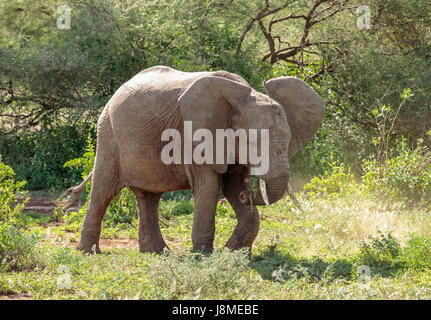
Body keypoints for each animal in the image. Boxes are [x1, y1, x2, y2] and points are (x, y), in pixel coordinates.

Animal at [64, 65, 324, 255]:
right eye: (252, 143)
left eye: (289, 141)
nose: (250, 192)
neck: (243, 94)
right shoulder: (195, 137)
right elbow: (208, 187)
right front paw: (203, 255)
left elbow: (231, 186)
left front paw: (234, 253)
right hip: (108, 133)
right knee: (103, 192)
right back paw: (88, 253)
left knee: (148, 196)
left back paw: (157, 253)